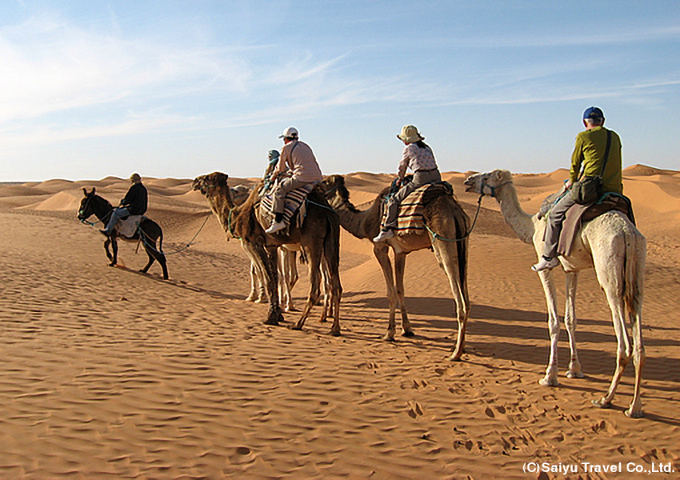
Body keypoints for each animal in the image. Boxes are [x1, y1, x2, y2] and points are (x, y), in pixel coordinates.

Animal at [322, 174, 470, 358]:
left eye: (325, 182)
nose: (315, 185)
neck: (365, 222)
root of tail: (455, 212)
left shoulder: (379, 248)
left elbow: (390, 292)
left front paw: (389, 333)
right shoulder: (401, 252)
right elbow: (400, 289)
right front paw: (407, 329)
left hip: (443, 239)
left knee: (459, 297)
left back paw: (456, 353)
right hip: (463, 244)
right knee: (466, 294)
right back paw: (462, 346)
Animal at [464, 171, 644, 418]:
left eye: (490, 175)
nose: (468, 181)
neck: (533, 225)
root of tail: (627, 233)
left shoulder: (545, 266)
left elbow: (554, 321)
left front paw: (550, 376)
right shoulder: (572, 268)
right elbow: (571, 319)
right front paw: (574, 370)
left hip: (609, 271)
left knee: (624, 341)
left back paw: (606, 399)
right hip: (637, 274)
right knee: (639, 341)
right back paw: (634, 406)